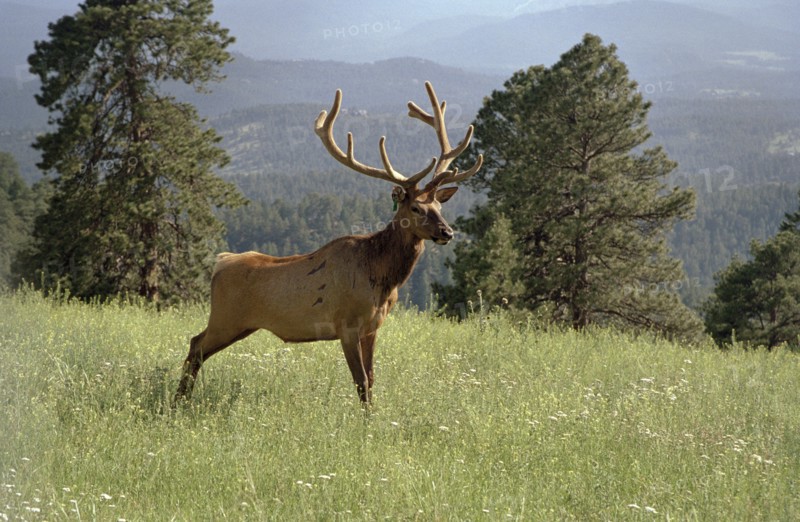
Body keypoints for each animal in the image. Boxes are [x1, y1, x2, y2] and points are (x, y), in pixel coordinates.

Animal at [174, 81, 482, 404]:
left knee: (195, 346)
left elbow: (372, 379)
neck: (382, 279)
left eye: (439, 205)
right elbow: (361, 382)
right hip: (226, 317)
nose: (447, 232)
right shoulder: (346, 323)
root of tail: (219, 263)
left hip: (240, 324)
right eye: (415, 208)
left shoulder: (373, 327)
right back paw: (178, 402)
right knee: (195, 346)